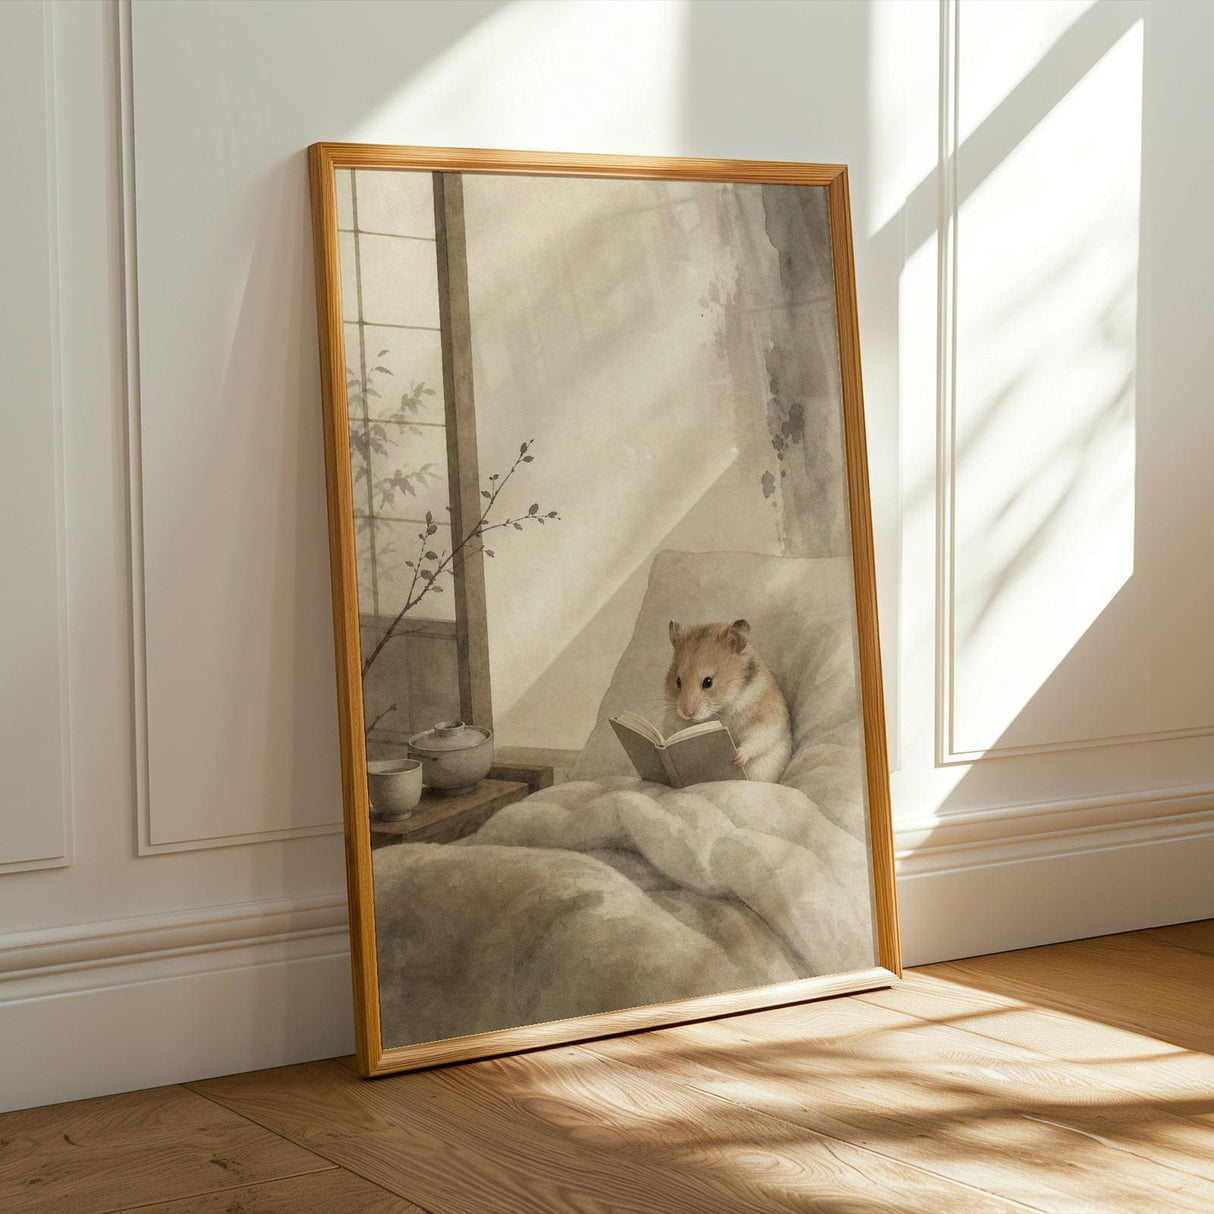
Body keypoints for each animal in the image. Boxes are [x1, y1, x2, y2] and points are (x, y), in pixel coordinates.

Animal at [664, 618, 793, 784]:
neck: (722, 709)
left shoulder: (766, 718)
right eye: (678, 682)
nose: (688, 713)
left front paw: (737, 757)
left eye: (708, 682)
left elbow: (756, 739)